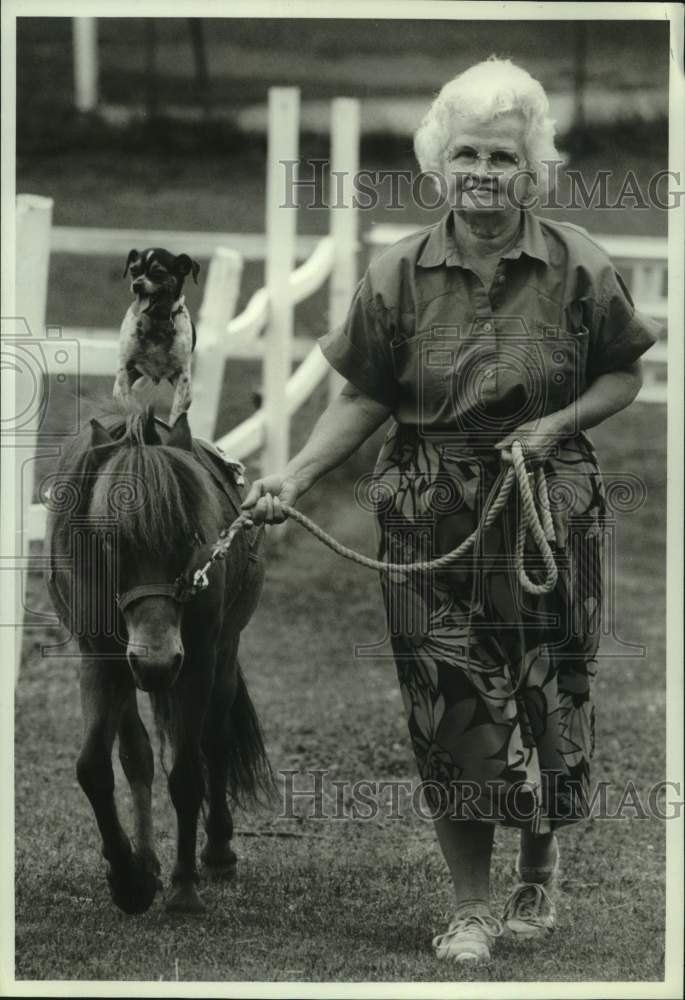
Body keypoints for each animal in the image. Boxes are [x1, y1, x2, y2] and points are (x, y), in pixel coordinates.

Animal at [43, 406, 270, 916]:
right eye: (111, 542)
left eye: (189, 536)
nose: (158, 661)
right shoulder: (101, 661)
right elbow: (95, 767)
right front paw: (129, 878)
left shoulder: (199, 661)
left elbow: (186, 772)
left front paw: (184, 888)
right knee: (137, 754)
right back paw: (145, 858)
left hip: (224, 655)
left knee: (215, 741)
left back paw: (218, 851)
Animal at [112, 250, 202, 426]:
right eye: (133, 270)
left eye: (158, 272)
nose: (137, 285)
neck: (157, 321)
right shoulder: (125, 369)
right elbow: (129, 402)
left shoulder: (182, 378)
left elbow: (177, 412)